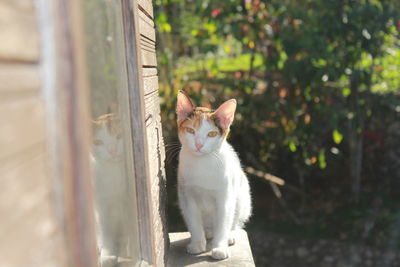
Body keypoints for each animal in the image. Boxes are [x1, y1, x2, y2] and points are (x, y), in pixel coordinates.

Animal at [177, 91, 252, 260]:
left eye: (211, 134)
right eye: (191, 131)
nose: (199, 145)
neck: (202, 163)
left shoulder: (225, 198)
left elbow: (223, 223)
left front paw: (219, 247)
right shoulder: (187, 196)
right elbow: (194, 221)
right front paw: (197, 243)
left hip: (243, 198)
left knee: (234, 222)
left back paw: (229, 235)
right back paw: (207, 233)